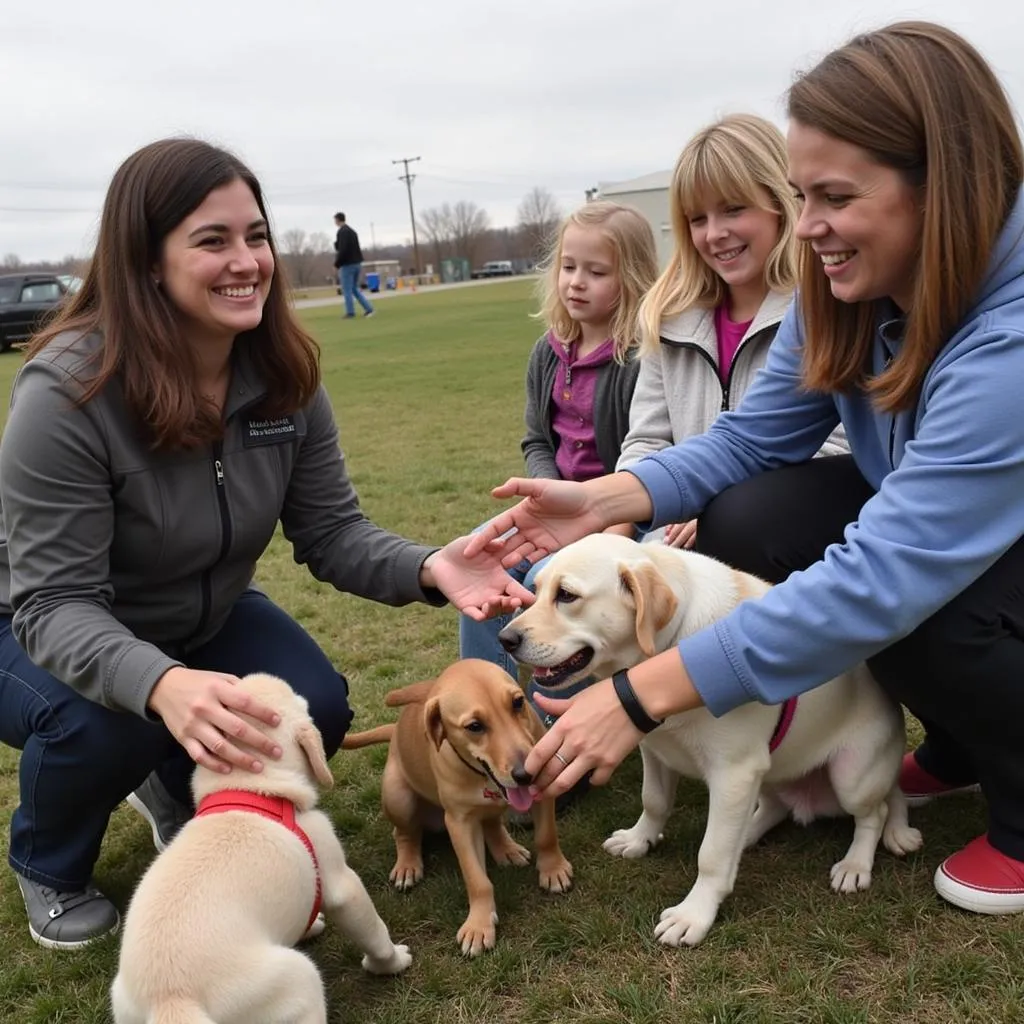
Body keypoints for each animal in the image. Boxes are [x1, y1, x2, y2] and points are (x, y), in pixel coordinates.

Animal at [105, 671, 405, 1024]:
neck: (248, 786)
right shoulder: (338, 875)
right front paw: (391, 962)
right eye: (300, 700)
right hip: (297, 978)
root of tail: (171, 1001)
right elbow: (373, 929)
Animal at [342, 659, 569, 954]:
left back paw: (506, 849)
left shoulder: (542, 792)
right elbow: (477, 879)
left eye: (518, 702)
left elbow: (546, 836)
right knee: (404, 832)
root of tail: (395, 732)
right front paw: (479, 925)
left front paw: (553, 869)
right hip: (397, 796)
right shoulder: (460, 823)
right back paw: (407, 864)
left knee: (492, 823)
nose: (527, 774)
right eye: (474, 726)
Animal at [499, 536, 925, 942]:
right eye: (536, 589)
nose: (506, 638)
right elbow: (654, 802)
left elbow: (713, 854)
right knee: (779, 806)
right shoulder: (656, 749)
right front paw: (640, 839)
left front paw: (694, 914)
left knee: (877, 810)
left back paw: (856, 862)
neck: (667, 648)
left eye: (567, 595)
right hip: (772, 771)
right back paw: (748, 833)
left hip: (850, 776)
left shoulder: (734, 771)